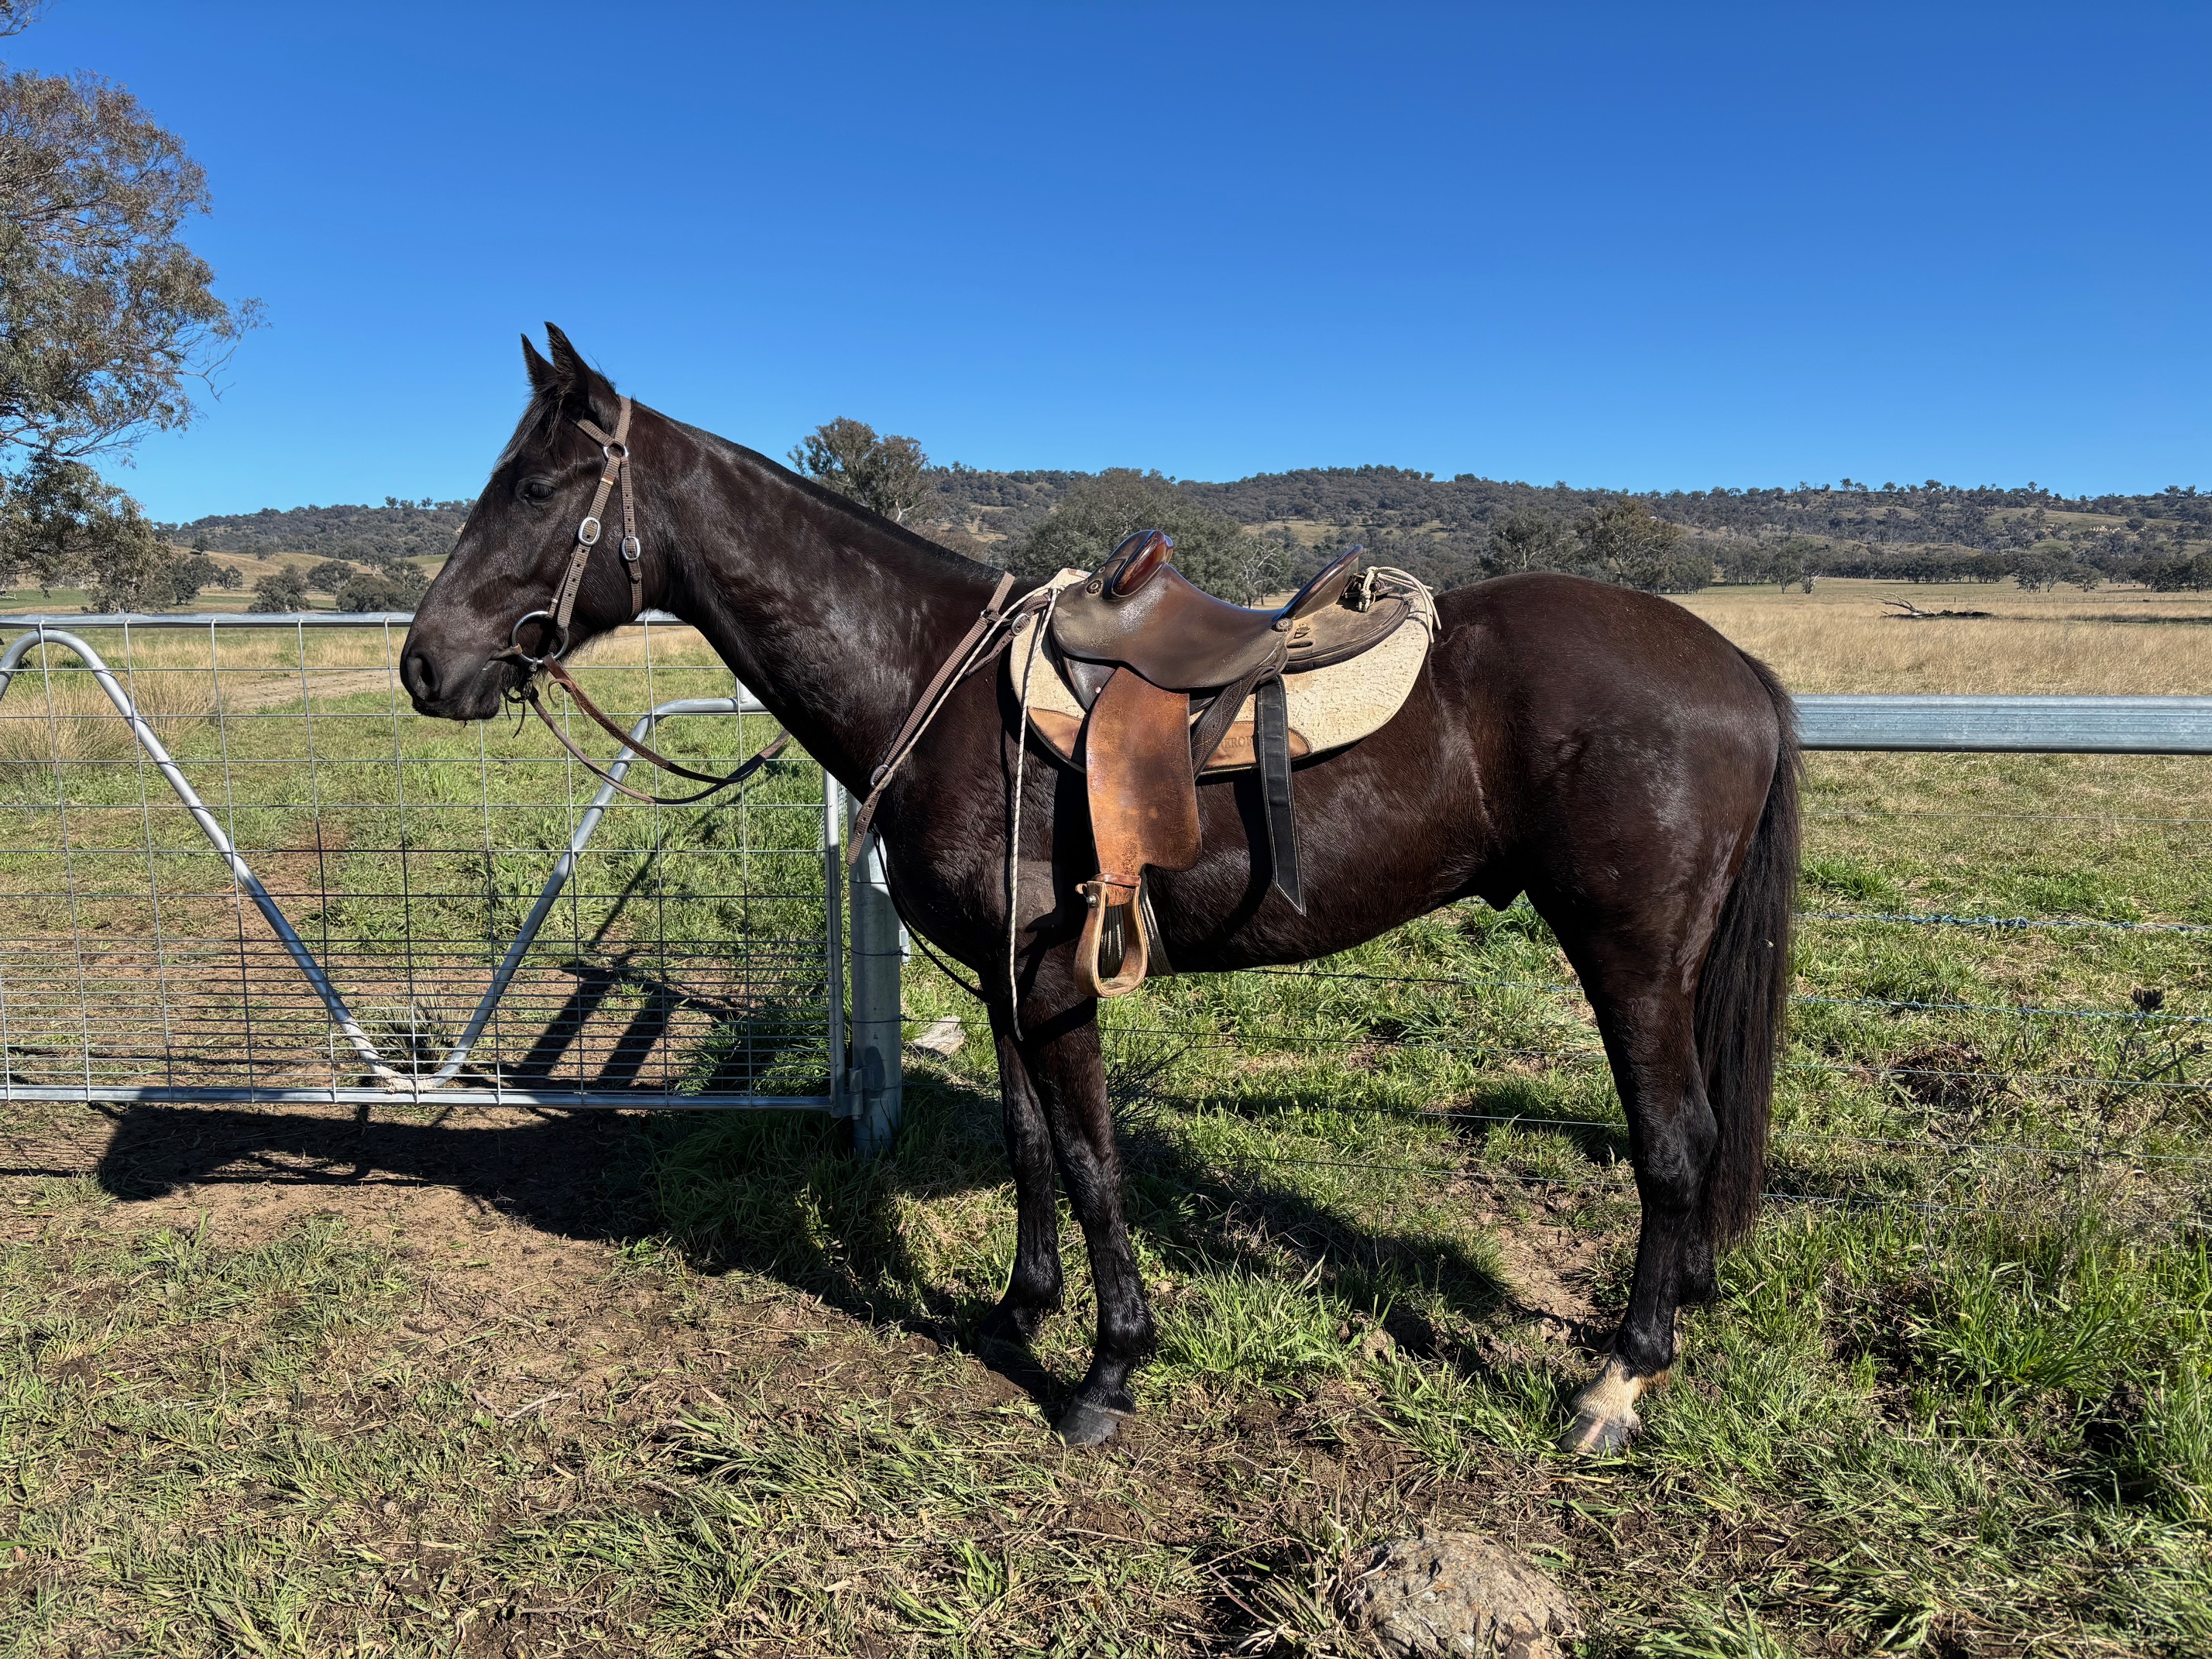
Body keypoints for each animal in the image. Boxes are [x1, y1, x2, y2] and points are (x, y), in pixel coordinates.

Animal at [401, 326, 1800, 1454]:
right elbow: (1030, 1142)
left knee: (1675, 1142)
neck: (935, 680)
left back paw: (1616, 1384)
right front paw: (1020, 1307)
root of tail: (1733, 667)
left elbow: (1091, 1157)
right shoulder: (998, 976)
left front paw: (1108, 1371)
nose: (425, 665)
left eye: (534, 486)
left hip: (1629, 954)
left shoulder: (1053, 976)